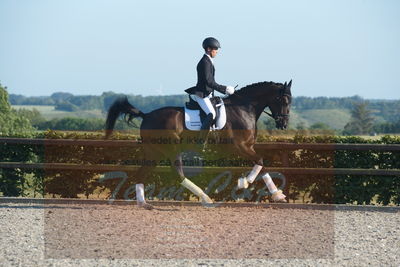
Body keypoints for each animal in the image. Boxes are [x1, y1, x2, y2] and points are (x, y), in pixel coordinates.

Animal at [105, 80, 294, 210]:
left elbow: (262, 166)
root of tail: (146, 115)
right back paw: (205, 198)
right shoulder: (240, 147)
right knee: (178, 173)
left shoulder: (248, 148)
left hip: (154, 153)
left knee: (141, 173)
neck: (243, 109)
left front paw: (278, 195)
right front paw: (244, 183)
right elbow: (260, 162)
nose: (283, 124)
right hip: (172, 149)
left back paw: (143, 203)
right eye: (284, 101)